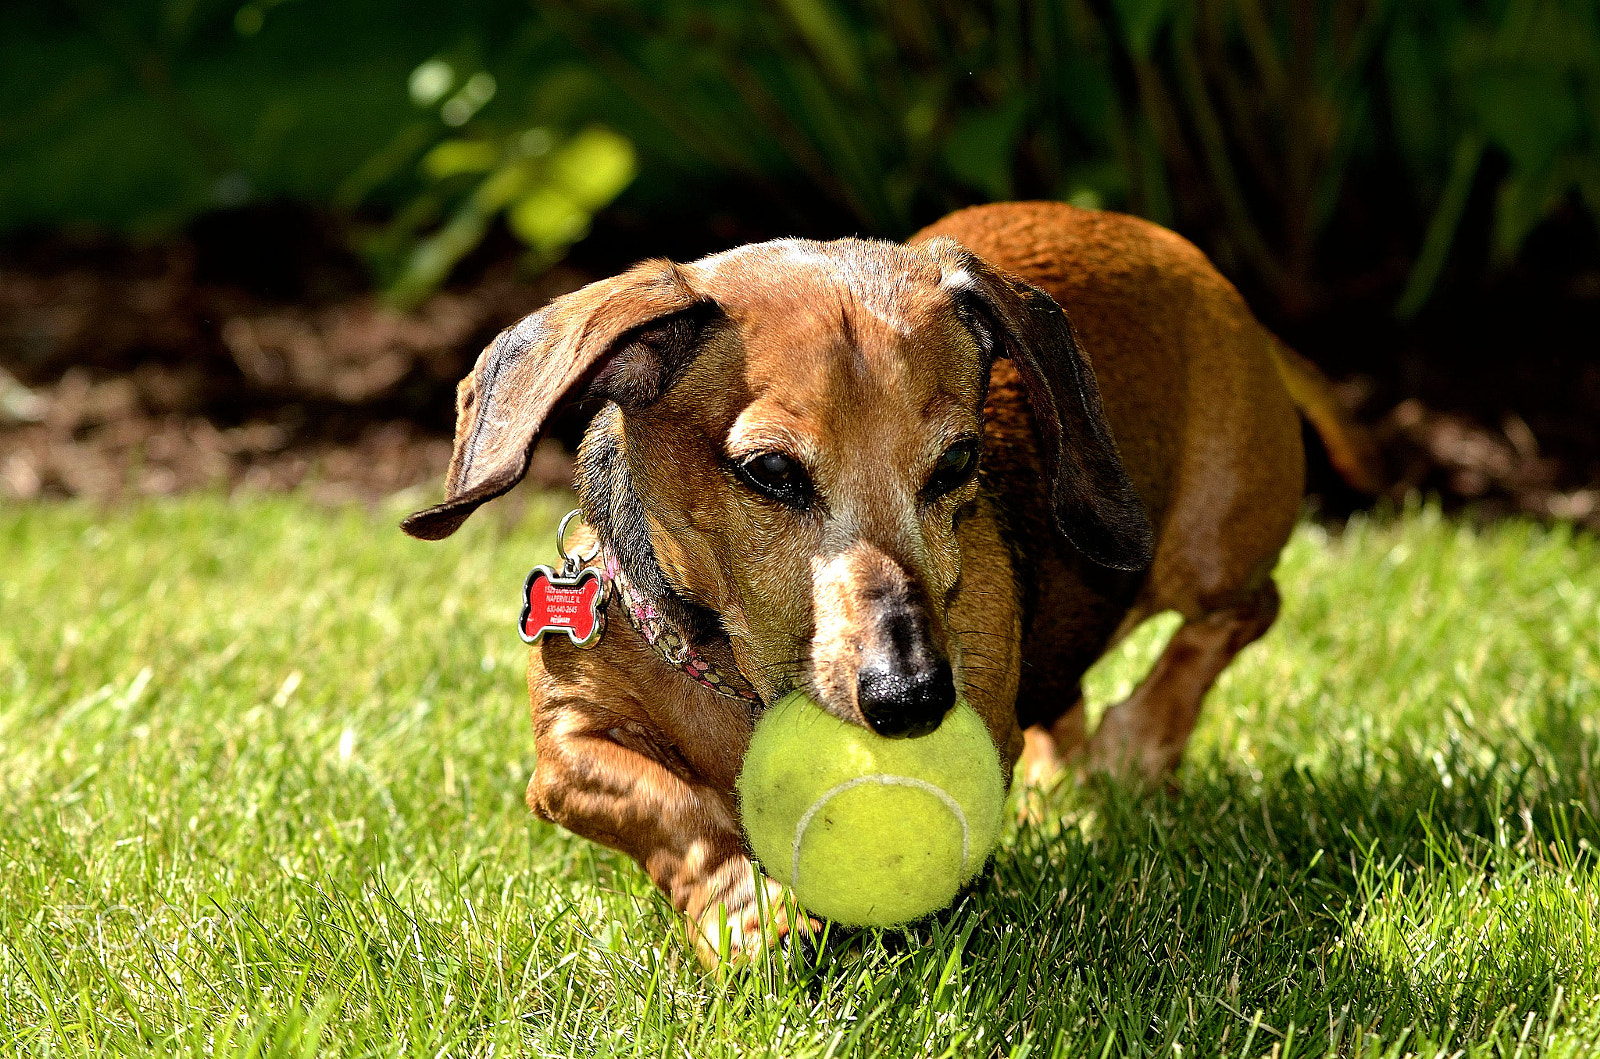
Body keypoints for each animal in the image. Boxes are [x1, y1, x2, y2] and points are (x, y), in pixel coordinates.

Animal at [400, 201, 1376, 972]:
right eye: (770, 471)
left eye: (957, 463)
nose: (912, 699)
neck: (734, 678)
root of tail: (1197, 263)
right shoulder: (566, 752)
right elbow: (671, 805)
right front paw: (747, 913)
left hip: (1205, 545)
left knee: (1243, 610)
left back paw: (1138, 742)